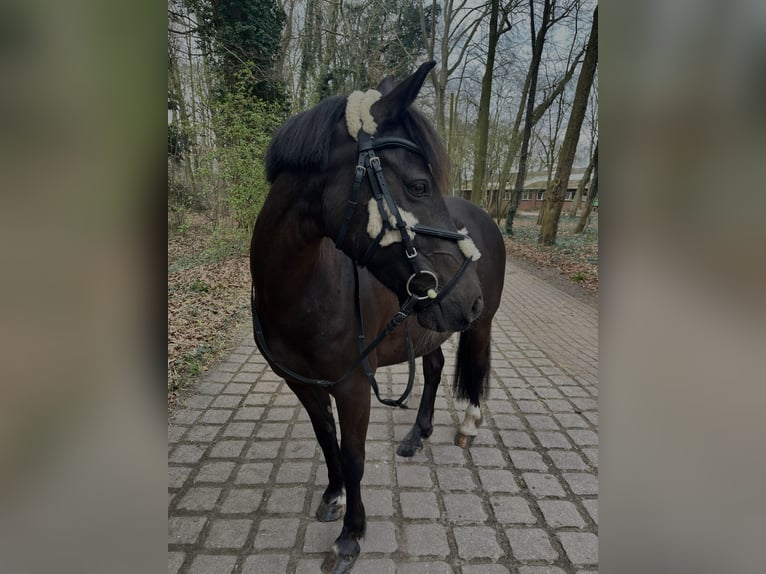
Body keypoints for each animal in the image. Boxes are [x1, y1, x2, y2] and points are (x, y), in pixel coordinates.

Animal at [249, 60, 508, 572]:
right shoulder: (303, 384)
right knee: (434, 368)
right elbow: (326, 438)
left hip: (479, 325)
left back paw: (468, 424)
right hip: (431, 327)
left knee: (476, 366)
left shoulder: (353, 386)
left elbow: (353, 456)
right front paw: (333, 497)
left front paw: (351, 537)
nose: (467, 295)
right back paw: (417, 435)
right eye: (418, 186)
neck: (299, 293)